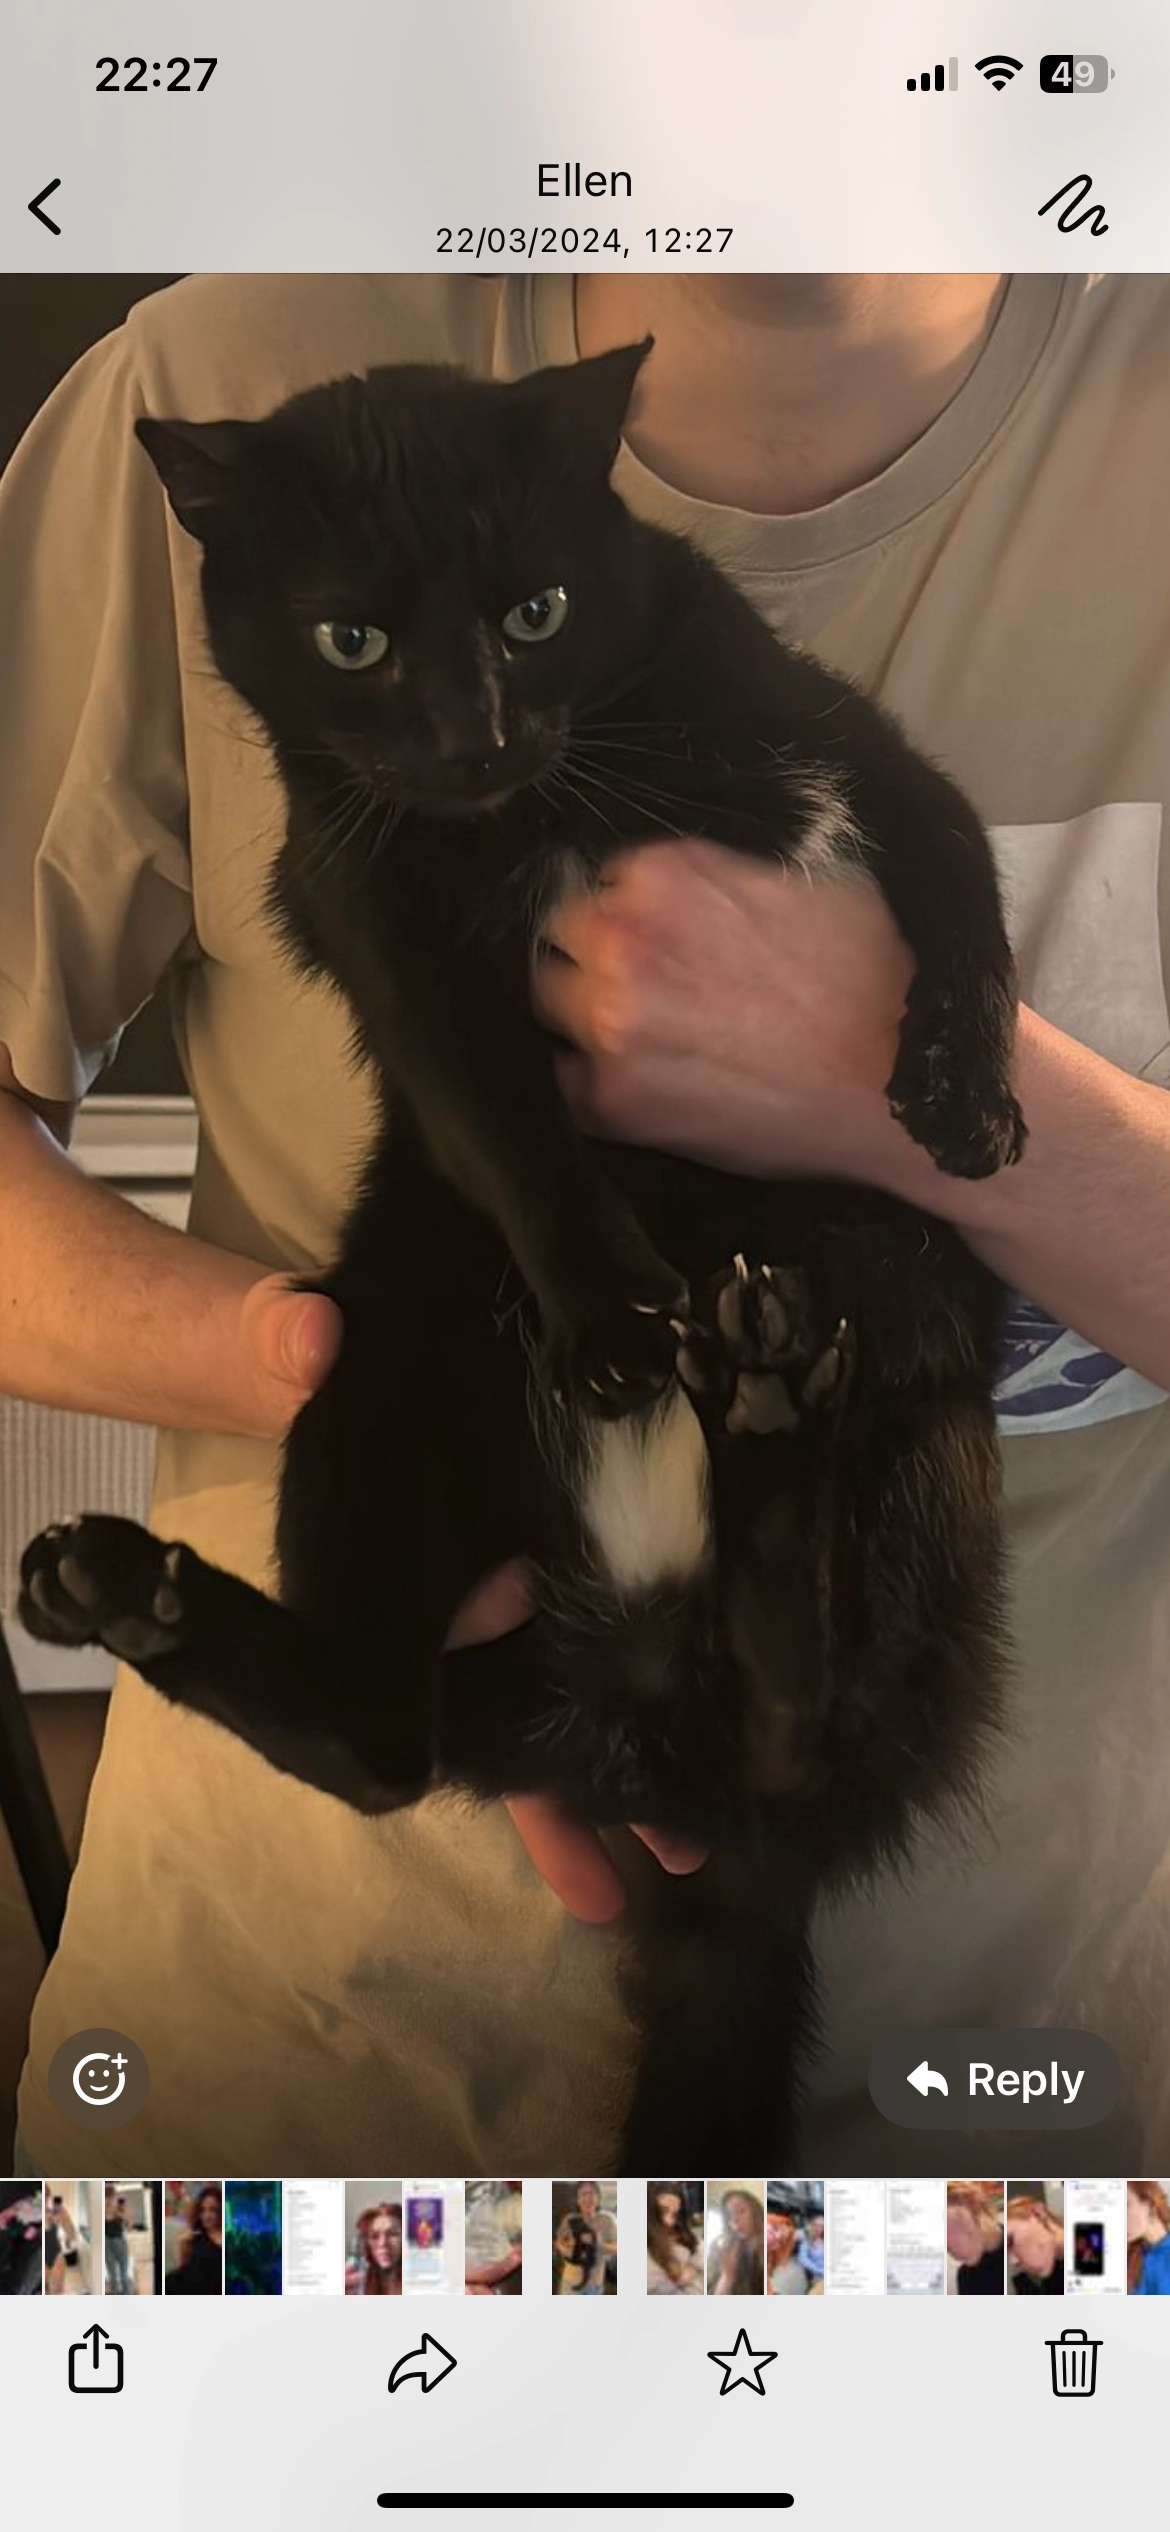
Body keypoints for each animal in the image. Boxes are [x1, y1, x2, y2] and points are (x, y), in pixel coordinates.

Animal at [20, 340, 1022, 2172]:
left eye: (538, 610)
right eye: (352, 640)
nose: (473, 732)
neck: (546, 812)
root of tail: (622, 1681)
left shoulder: (839, 750)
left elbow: (952, 868)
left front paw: (963, 1084)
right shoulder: (383, 916)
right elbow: (506, 1127)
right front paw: (609, 1309)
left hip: (903, 1324)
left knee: (795, 1735)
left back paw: (764, 1399)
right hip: (375, 1356)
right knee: (382, 1741)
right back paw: (127, 1586)